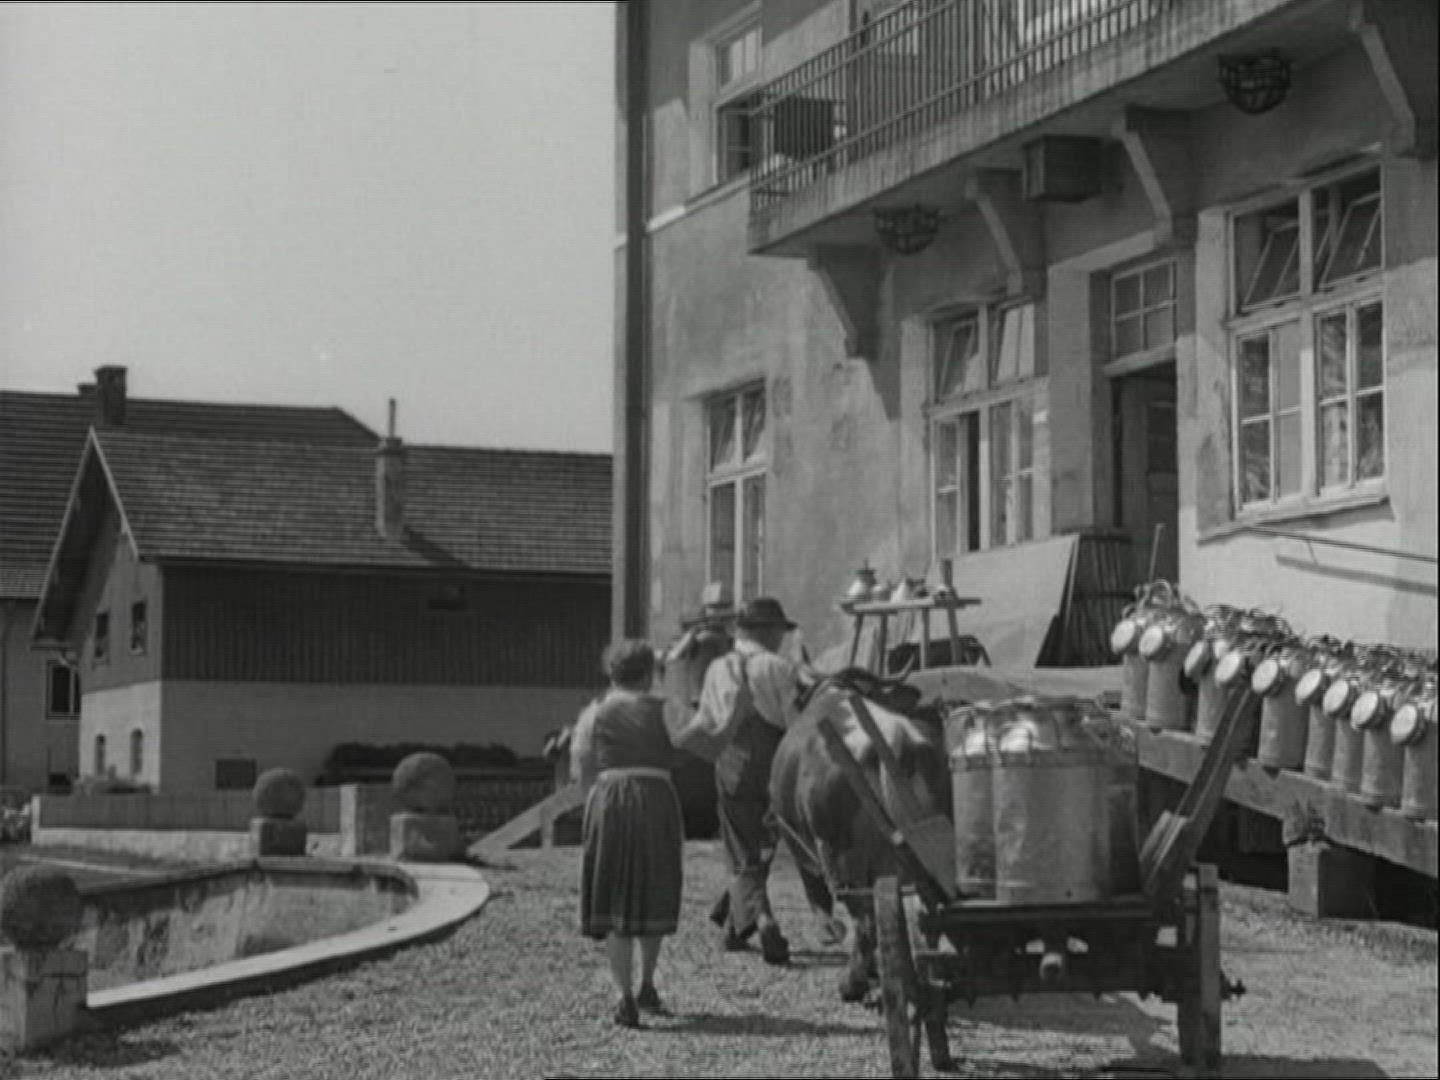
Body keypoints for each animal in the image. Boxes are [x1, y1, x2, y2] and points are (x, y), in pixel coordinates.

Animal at [769, 667, 954, 1004]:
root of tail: (895, 740)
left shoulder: (795, 839)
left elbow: (817, 892)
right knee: (925, 914)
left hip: (843, 855)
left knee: (865, 918)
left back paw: (852, 984)